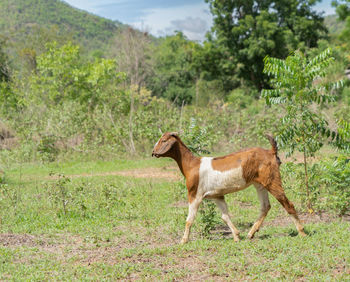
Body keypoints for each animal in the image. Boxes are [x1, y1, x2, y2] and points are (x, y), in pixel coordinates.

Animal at [152, 133, 304, 245]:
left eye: (163, 140)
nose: (153, 152)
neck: (191, 164)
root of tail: (270, 151)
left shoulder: (195, 194)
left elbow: (190, 219)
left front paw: (183, 241)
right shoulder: (217, 196)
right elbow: (225, 216)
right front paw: (236, 236)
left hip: (272, 180)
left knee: (288, 204)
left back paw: (302, 232)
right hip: (259, 184)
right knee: (265, 206)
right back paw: (250, 233)